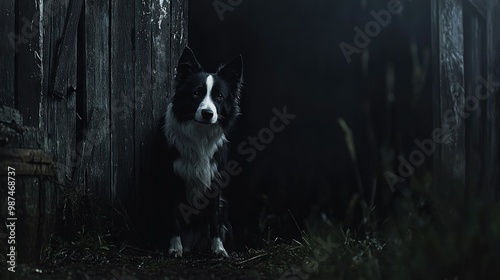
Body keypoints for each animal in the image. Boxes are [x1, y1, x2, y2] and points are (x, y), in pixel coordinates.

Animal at [164, 47, 242, 258]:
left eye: (219, 97)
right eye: (196, 93)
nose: (208, 114)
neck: (200, 133)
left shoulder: (214, 180)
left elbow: (214, 220)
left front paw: (219, 249)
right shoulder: (173, 180)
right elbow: (174, 218)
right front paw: (175, 248)